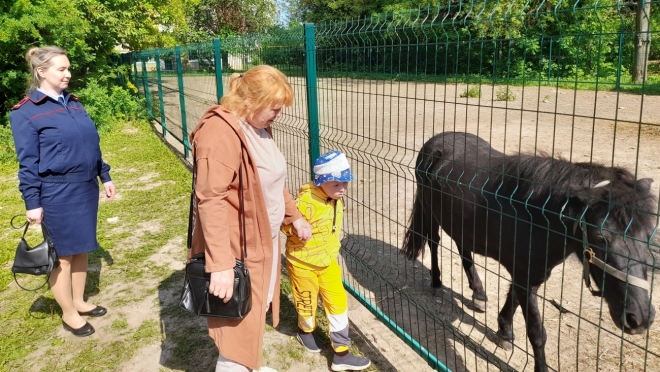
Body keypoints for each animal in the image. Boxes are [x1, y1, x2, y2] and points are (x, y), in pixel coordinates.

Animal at [402, 132, 656, 370]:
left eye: (649, 234)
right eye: (600, 237)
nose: (639, 317)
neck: (537, 216)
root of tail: (435, 142)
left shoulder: (529, 274)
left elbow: (513, 299)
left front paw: (504, 331)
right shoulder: (525, 275)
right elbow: (536, 333)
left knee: (463, 249)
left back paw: (479, 294)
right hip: (429, 211)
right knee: (434, 242)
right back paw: (436, 282)